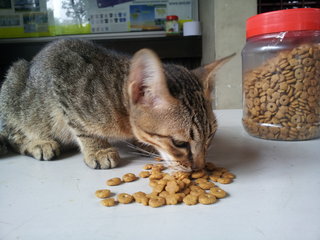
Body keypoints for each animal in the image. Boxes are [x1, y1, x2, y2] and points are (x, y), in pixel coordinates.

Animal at [0, 39, 232, 171]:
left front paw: (144, 145)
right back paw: (38, 143)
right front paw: (98, 149)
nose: (199, 169)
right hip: (13, 89)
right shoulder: (63, 87)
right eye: (179, 143)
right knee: (13, 134)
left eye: (210, 135)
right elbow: (82, 128)